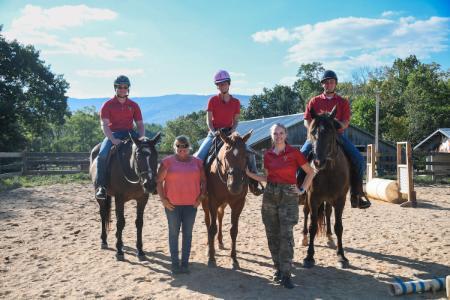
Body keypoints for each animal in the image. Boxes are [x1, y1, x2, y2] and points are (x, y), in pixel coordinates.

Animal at [204, 130, 253, 268]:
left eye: (245, 155)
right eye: (226, 155)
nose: (235, 185)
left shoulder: (239, 203)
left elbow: (234, 230)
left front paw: (234, 259)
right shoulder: (212, 202)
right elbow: (212, 228)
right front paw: (211, 258)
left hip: (224, 204)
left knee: (220, 217)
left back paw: (220, 242)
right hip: (205, 203)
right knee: (208, 222)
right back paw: (209, 246)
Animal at [302, 106, 352, 268]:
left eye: (331, 132)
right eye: (312, 132)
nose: (318, 162)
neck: (328, 171)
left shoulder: (340, 199)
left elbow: (339, 227)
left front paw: (341, 256)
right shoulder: (313, 198)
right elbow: (312, 226)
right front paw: (309, 257)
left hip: (329, 200)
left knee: (328, 213)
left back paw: (329, 236)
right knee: (306, 213)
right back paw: (303, 237)